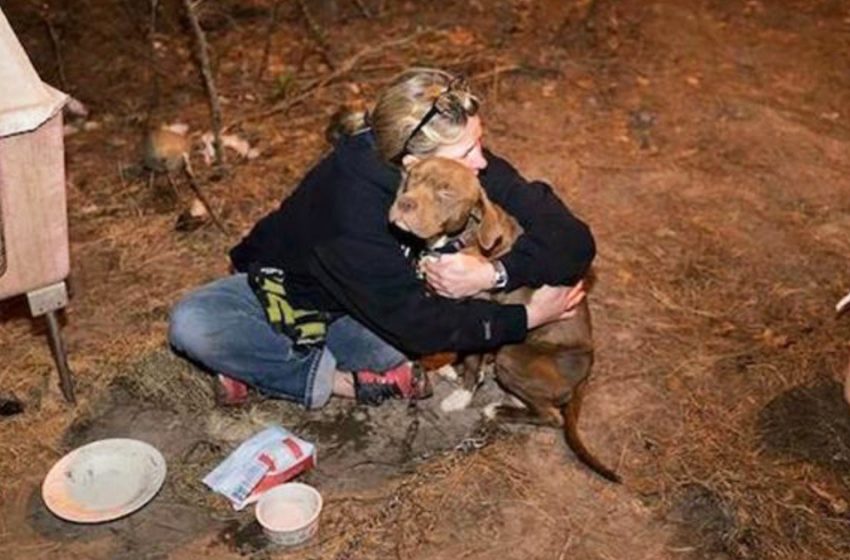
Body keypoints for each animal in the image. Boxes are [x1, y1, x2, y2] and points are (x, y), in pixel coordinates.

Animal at [390, 156, 616, 482]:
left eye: (446, 193)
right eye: (412, 179)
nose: (404, 203)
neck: (459, 240)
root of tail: (586, 373)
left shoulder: (478, 310)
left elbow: (472, 359)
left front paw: (462, 395)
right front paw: (447, 365)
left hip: (513, 356)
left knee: (552, 416)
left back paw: (497, 409)